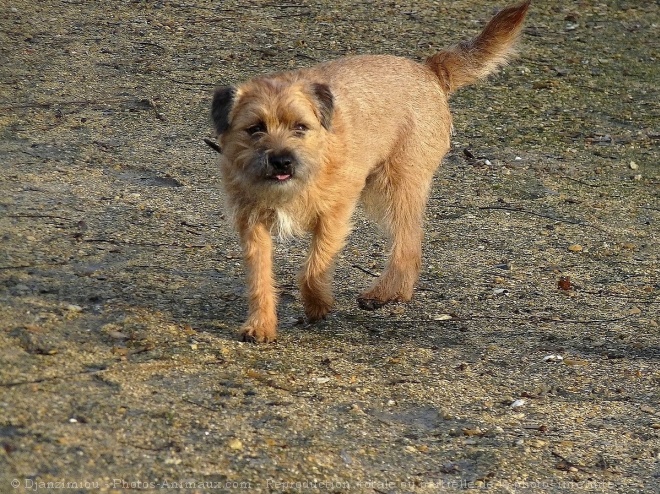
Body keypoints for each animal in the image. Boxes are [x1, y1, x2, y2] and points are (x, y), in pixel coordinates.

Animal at [211, 0, 532, 340]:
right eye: (255, 129)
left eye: (300, 127)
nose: (282, 161)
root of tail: (427, 69)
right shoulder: (252, 224)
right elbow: (260, 277)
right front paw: (260, 325)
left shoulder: (334, 216)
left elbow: (313, 267)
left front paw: (318, 305)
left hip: (396, 186)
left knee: (408, 243)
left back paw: (386, 292)